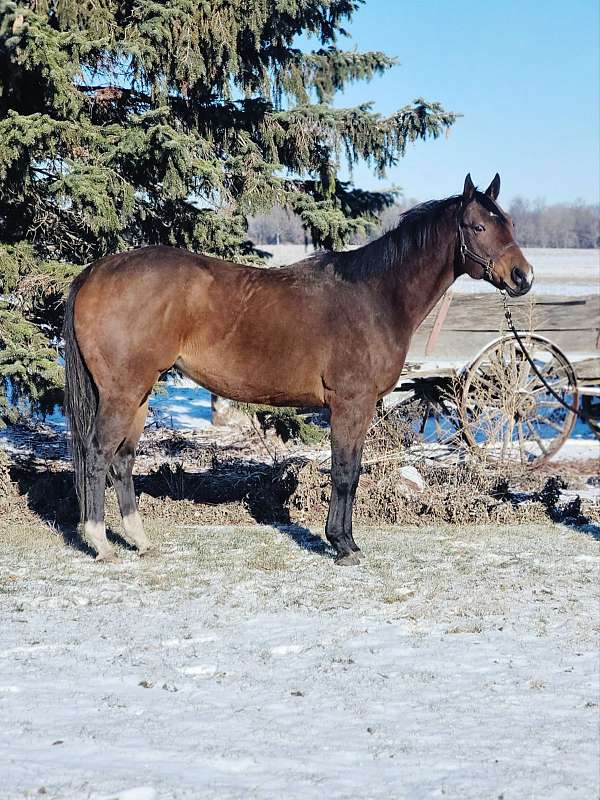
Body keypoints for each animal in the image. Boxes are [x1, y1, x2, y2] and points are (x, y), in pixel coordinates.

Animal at [64, 173, 536, 564]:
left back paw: (139, 540)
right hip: (123, 392)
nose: (523, 277)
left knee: (122, 460)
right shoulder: (351, 404)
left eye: (511, 223)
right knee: (98, 453)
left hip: (139, 392)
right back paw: (100, 542)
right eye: (478, 226)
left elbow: (351, 471)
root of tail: (96, 272)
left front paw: (347, 541)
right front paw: (341, 546)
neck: (375, 296)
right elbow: (344, 473)